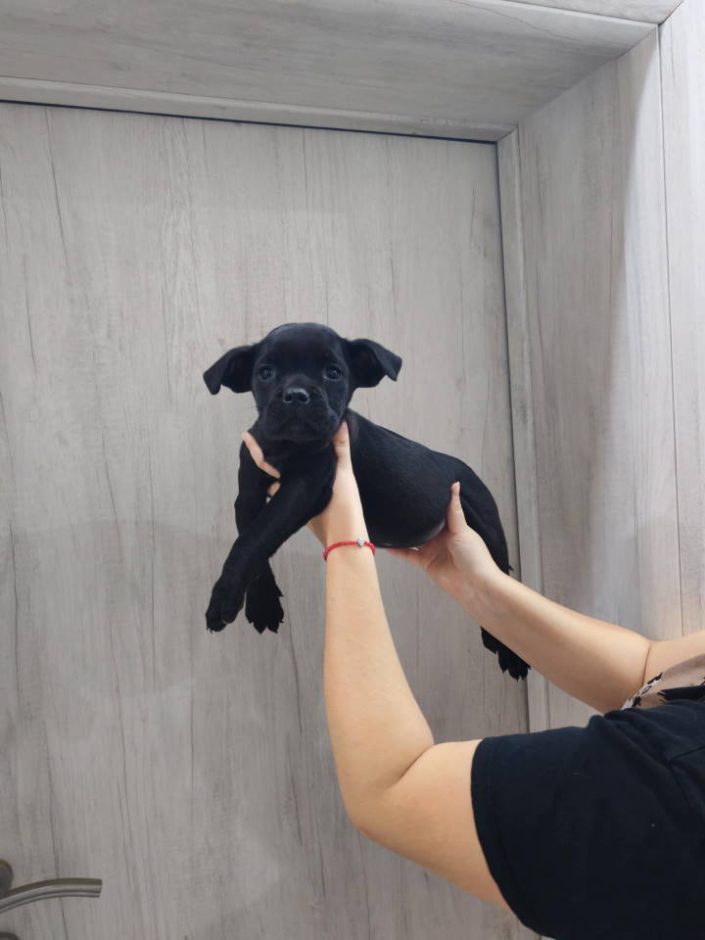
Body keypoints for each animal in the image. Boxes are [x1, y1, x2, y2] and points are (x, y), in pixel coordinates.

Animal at [203, 322, 528, 680]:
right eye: (265, 372)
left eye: (333, 373)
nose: (297, 396)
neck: (285, 447)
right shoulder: (247, 495)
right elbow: (252, 542)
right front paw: (263, 605)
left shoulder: (304, 486)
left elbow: (254, 538)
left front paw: (224, 596)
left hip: (488, 526)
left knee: (501, 580)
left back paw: (512, 652)